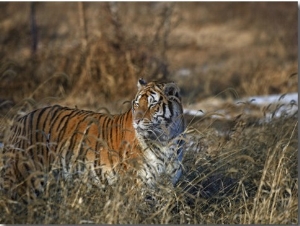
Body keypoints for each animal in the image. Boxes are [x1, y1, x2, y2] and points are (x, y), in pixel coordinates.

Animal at [0, 79, 185, 200]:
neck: (166, 139)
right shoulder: (137, 185)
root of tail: (20, 120)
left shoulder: (167, 186)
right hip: (26, 179)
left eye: (153, 104)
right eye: (137, 104)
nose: (137, 120)